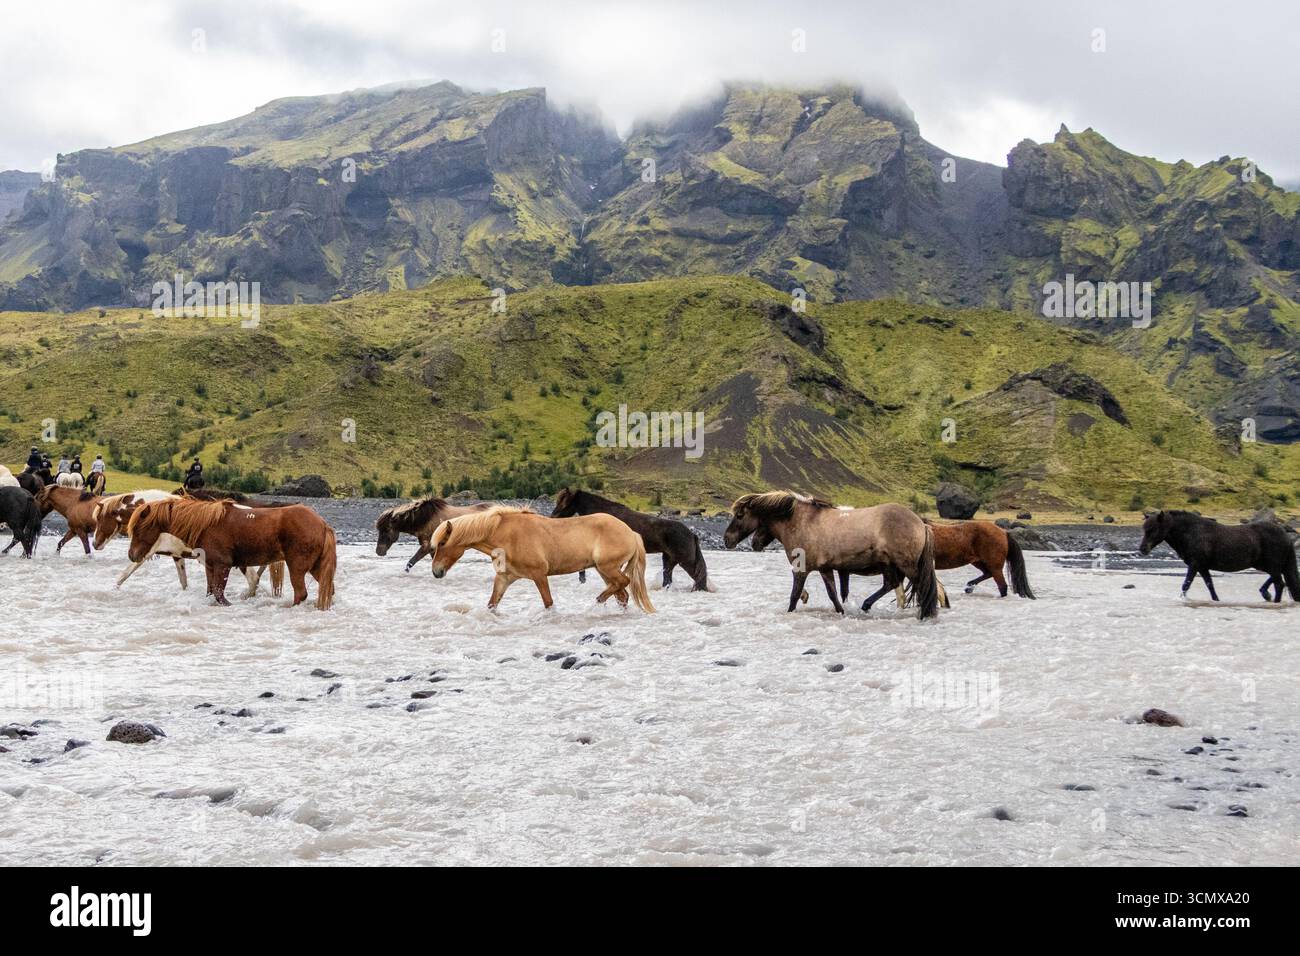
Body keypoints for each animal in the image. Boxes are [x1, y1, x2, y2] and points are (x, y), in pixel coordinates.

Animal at [127, 498, 336, 609]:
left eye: (138, 528)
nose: (132, 555)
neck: (206, 525)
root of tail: (322, 523)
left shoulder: (223, 566)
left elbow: (220, 595)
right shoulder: (211, 567)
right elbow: (211, 591)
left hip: (297, 567)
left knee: (301, 594)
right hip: (315, 567)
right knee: (328, 589)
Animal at [430, 506, 655, 612]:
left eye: (442, 543)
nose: (436, 571)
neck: (507, 536)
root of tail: (631, 532)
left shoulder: (539, 575)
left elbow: (548, 602)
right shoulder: (505, 578)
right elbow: (492, 603)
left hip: (607, 567)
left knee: (623, 584)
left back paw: (597, 601)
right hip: (603, 570)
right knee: (622, 594)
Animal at [551, 488, 711, 591]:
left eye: (564, 502)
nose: (553, 516)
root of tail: (691, 534)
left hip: (685, 560)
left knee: (698, 576)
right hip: (669, 559)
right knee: (668, 578)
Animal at [724, 491, 941, 620]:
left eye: (740, 515)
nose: (727, 540)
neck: (802, 522)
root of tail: (920, 522)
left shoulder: (801, 570)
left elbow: (795, 595)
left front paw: (790, 612)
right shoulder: (825, 569)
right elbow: (833, 594)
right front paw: (842, 612)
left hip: (906, 565)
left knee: (921, 586)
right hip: (890, 564)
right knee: (891, 584)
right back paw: (866, 605)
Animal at [1139, 509, 1300, 603]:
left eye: (1152, 529)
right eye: (1144, 528)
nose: (1142, 549)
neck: (1193, 532)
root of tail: (1285, 535)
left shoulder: (1195, 564)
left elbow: (1186, 584)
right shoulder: (1202, 567)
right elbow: (1210, 586)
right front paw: (1216, 600)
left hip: (1271, 565)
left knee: (1279, 584)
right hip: (1267, 564)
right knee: (1279, 580)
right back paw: (1265, 593)